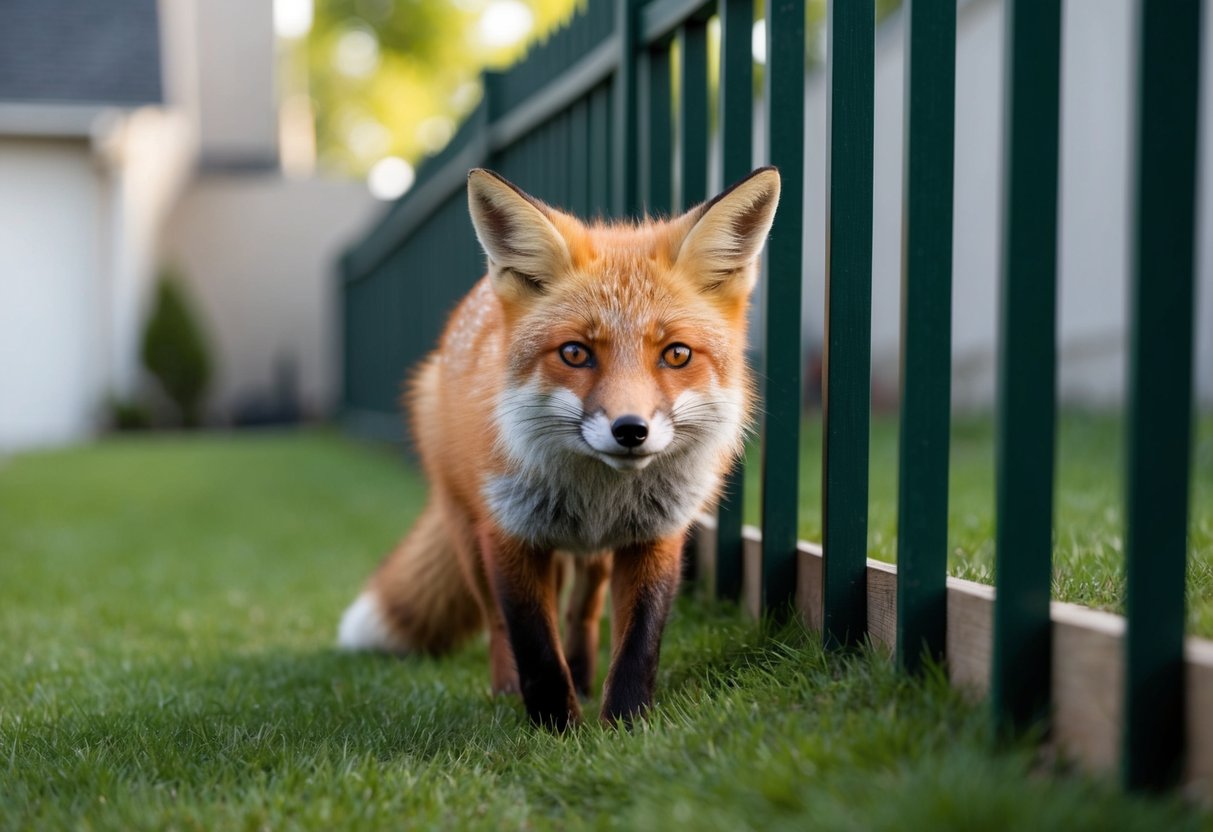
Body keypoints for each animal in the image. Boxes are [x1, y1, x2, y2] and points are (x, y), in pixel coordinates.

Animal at [338, 166, 780, 729]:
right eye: (575, 353)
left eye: (677, 354)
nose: (630, 430)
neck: (596, 496)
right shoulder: (509, 534)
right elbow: (534, 646)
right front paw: (556, 728)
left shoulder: (656, 536)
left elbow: (639, 643)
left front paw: (625, 725)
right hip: (468, 533)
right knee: (494, 621)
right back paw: (506, 690)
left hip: (595, 558)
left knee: (582, 610)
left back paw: (586, 678)